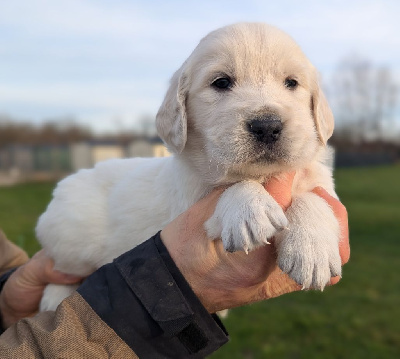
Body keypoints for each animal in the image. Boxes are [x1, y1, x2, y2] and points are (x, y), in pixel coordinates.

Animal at [36, 21, 340, 312]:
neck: (262, 177)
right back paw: (54, 297)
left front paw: (312, 247)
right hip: (69, 236)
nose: (267, 126)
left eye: (292, 83)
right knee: (61, 269)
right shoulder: (191, 204)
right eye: (221, 82)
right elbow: (233, 185)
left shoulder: (321, 181)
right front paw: (249, 207)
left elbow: (315, 196)